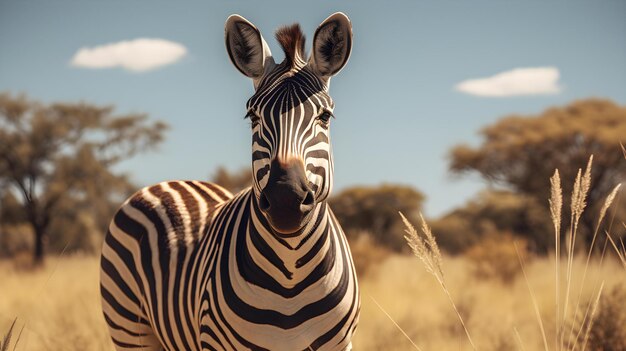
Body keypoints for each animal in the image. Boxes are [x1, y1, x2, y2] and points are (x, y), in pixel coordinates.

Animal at [100, 12, 358, 350]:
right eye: (253, 117)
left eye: (325, 116)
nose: (286, 202)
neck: (291, 270)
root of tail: (171, 181)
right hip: (129, 327)